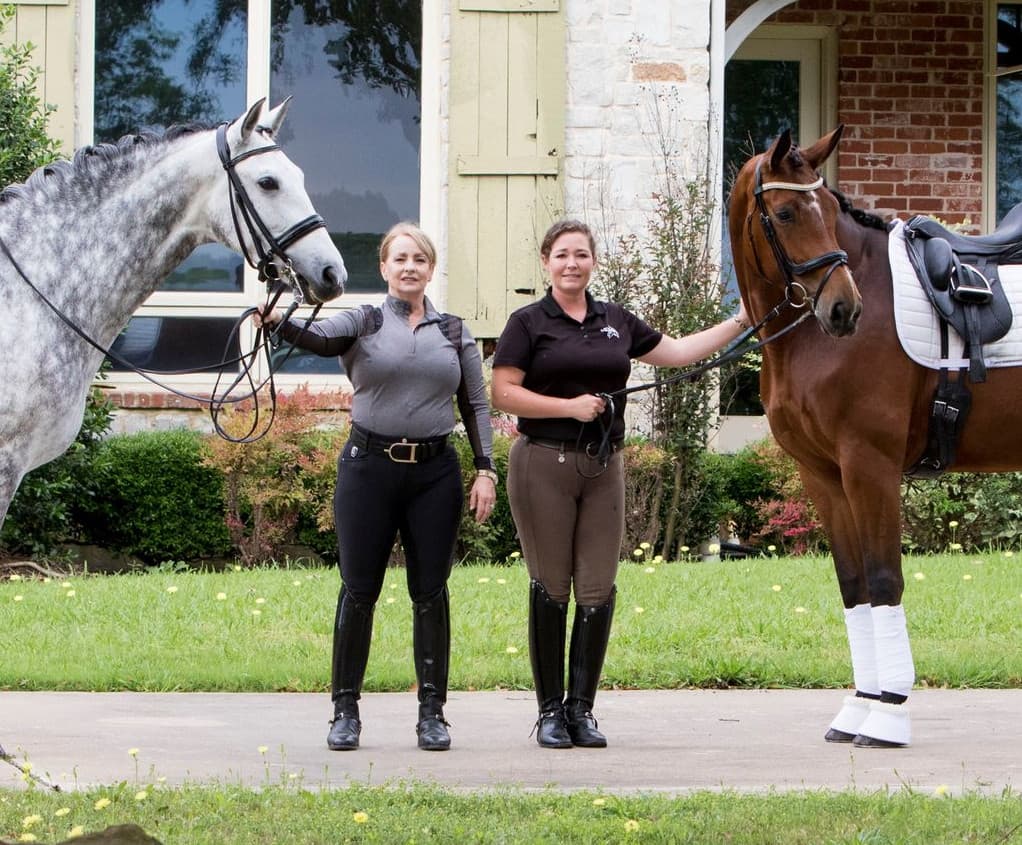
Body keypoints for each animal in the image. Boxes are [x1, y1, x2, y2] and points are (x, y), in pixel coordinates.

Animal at [728, 125, 1022, 747]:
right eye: (785, 212)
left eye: (829, 208)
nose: (843, 310)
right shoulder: (824, 476)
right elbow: (854, 583)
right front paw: (859, 707)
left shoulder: (871, 465)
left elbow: (885, 579)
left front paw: (889, 714)